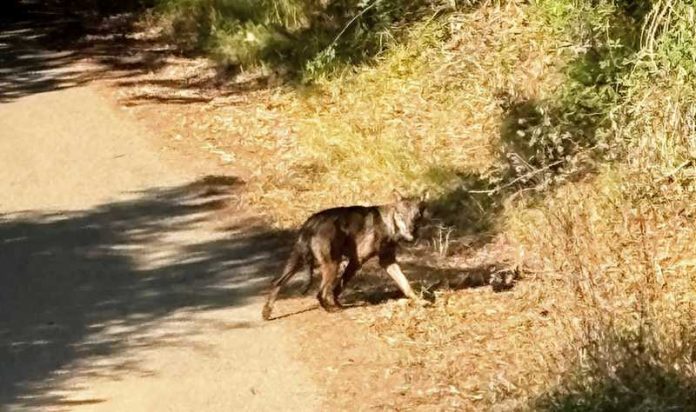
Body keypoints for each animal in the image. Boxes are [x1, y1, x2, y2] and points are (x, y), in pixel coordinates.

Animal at [262, 191, 429, 320]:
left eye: (418, 216)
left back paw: (266, 312)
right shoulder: (357, 261)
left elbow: (405, 284)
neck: (389, 222)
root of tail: (311, 223)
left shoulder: (388, 261)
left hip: (298, 261)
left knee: (276, 282)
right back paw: (330, 309)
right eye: (402, 215)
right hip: (332, 264)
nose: (412, 231)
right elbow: (338, 287)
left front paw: (420, 302)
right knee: (320, 292)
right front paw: (337, 304)